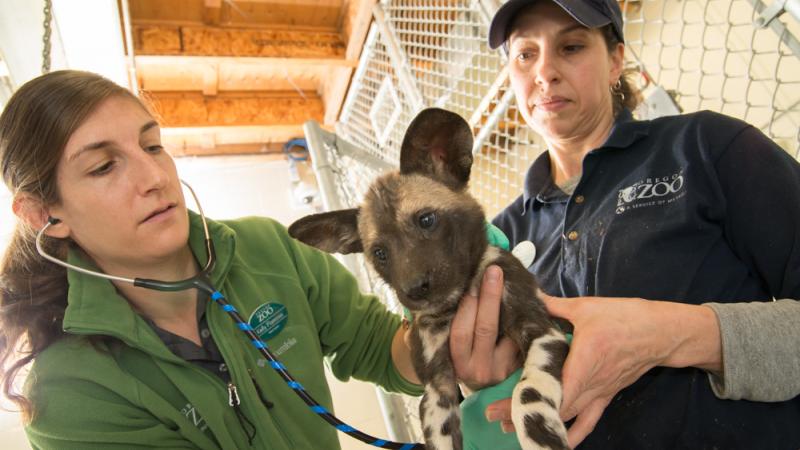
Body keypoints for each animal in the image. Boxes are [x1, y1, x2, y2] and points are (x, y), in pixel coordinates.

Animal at [288, 108, 568, 450]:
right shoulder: (437, 389)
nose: (415, 289)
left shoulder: (542, 330)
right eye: (379, 253)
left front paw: (541, 436)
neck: (456, 304)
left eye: (426, 220)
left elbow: (525, 394)